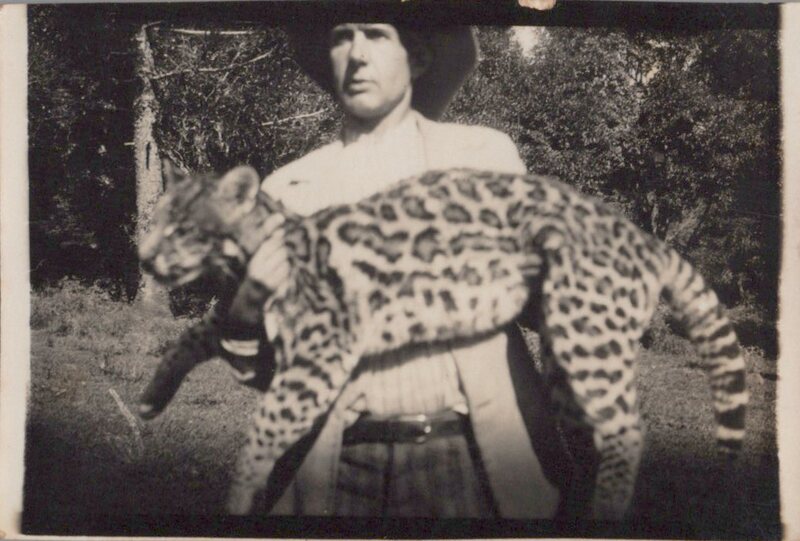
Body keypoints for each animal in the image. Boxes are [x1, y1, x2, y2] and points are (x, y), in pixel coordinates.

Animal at [138, 162, 748, 520]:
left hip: (587, 328)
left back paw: (606, 514)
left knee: (628, 429)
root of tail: (644, 238)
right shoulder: (252, 325)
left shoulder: (320, 355)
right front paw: (152, 394)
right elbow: (195, 333)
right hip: (565, 359)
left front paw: (239, 494)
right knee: (591, 431)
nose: (143, 257)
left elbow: (263, 426)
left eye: (183, 227)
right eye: (158, 218)